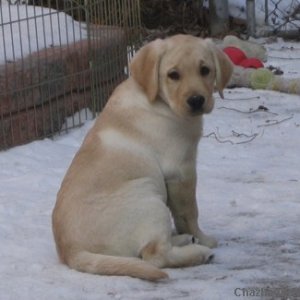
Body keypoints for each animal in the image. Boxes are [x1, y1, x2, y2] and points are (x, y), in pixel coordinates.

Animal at [52, 35, 233, 282]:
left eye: (205, 70)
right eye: (173, 75)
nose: (196, 100)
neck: (158, 100)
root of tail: (70, 251)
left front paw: (191, 235)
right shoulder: (181, 171)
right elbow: (188, 213)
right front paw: (203, 238)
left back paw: (183, 240)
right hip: (148, 200)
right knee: (155, 255)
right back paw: (199, 251)